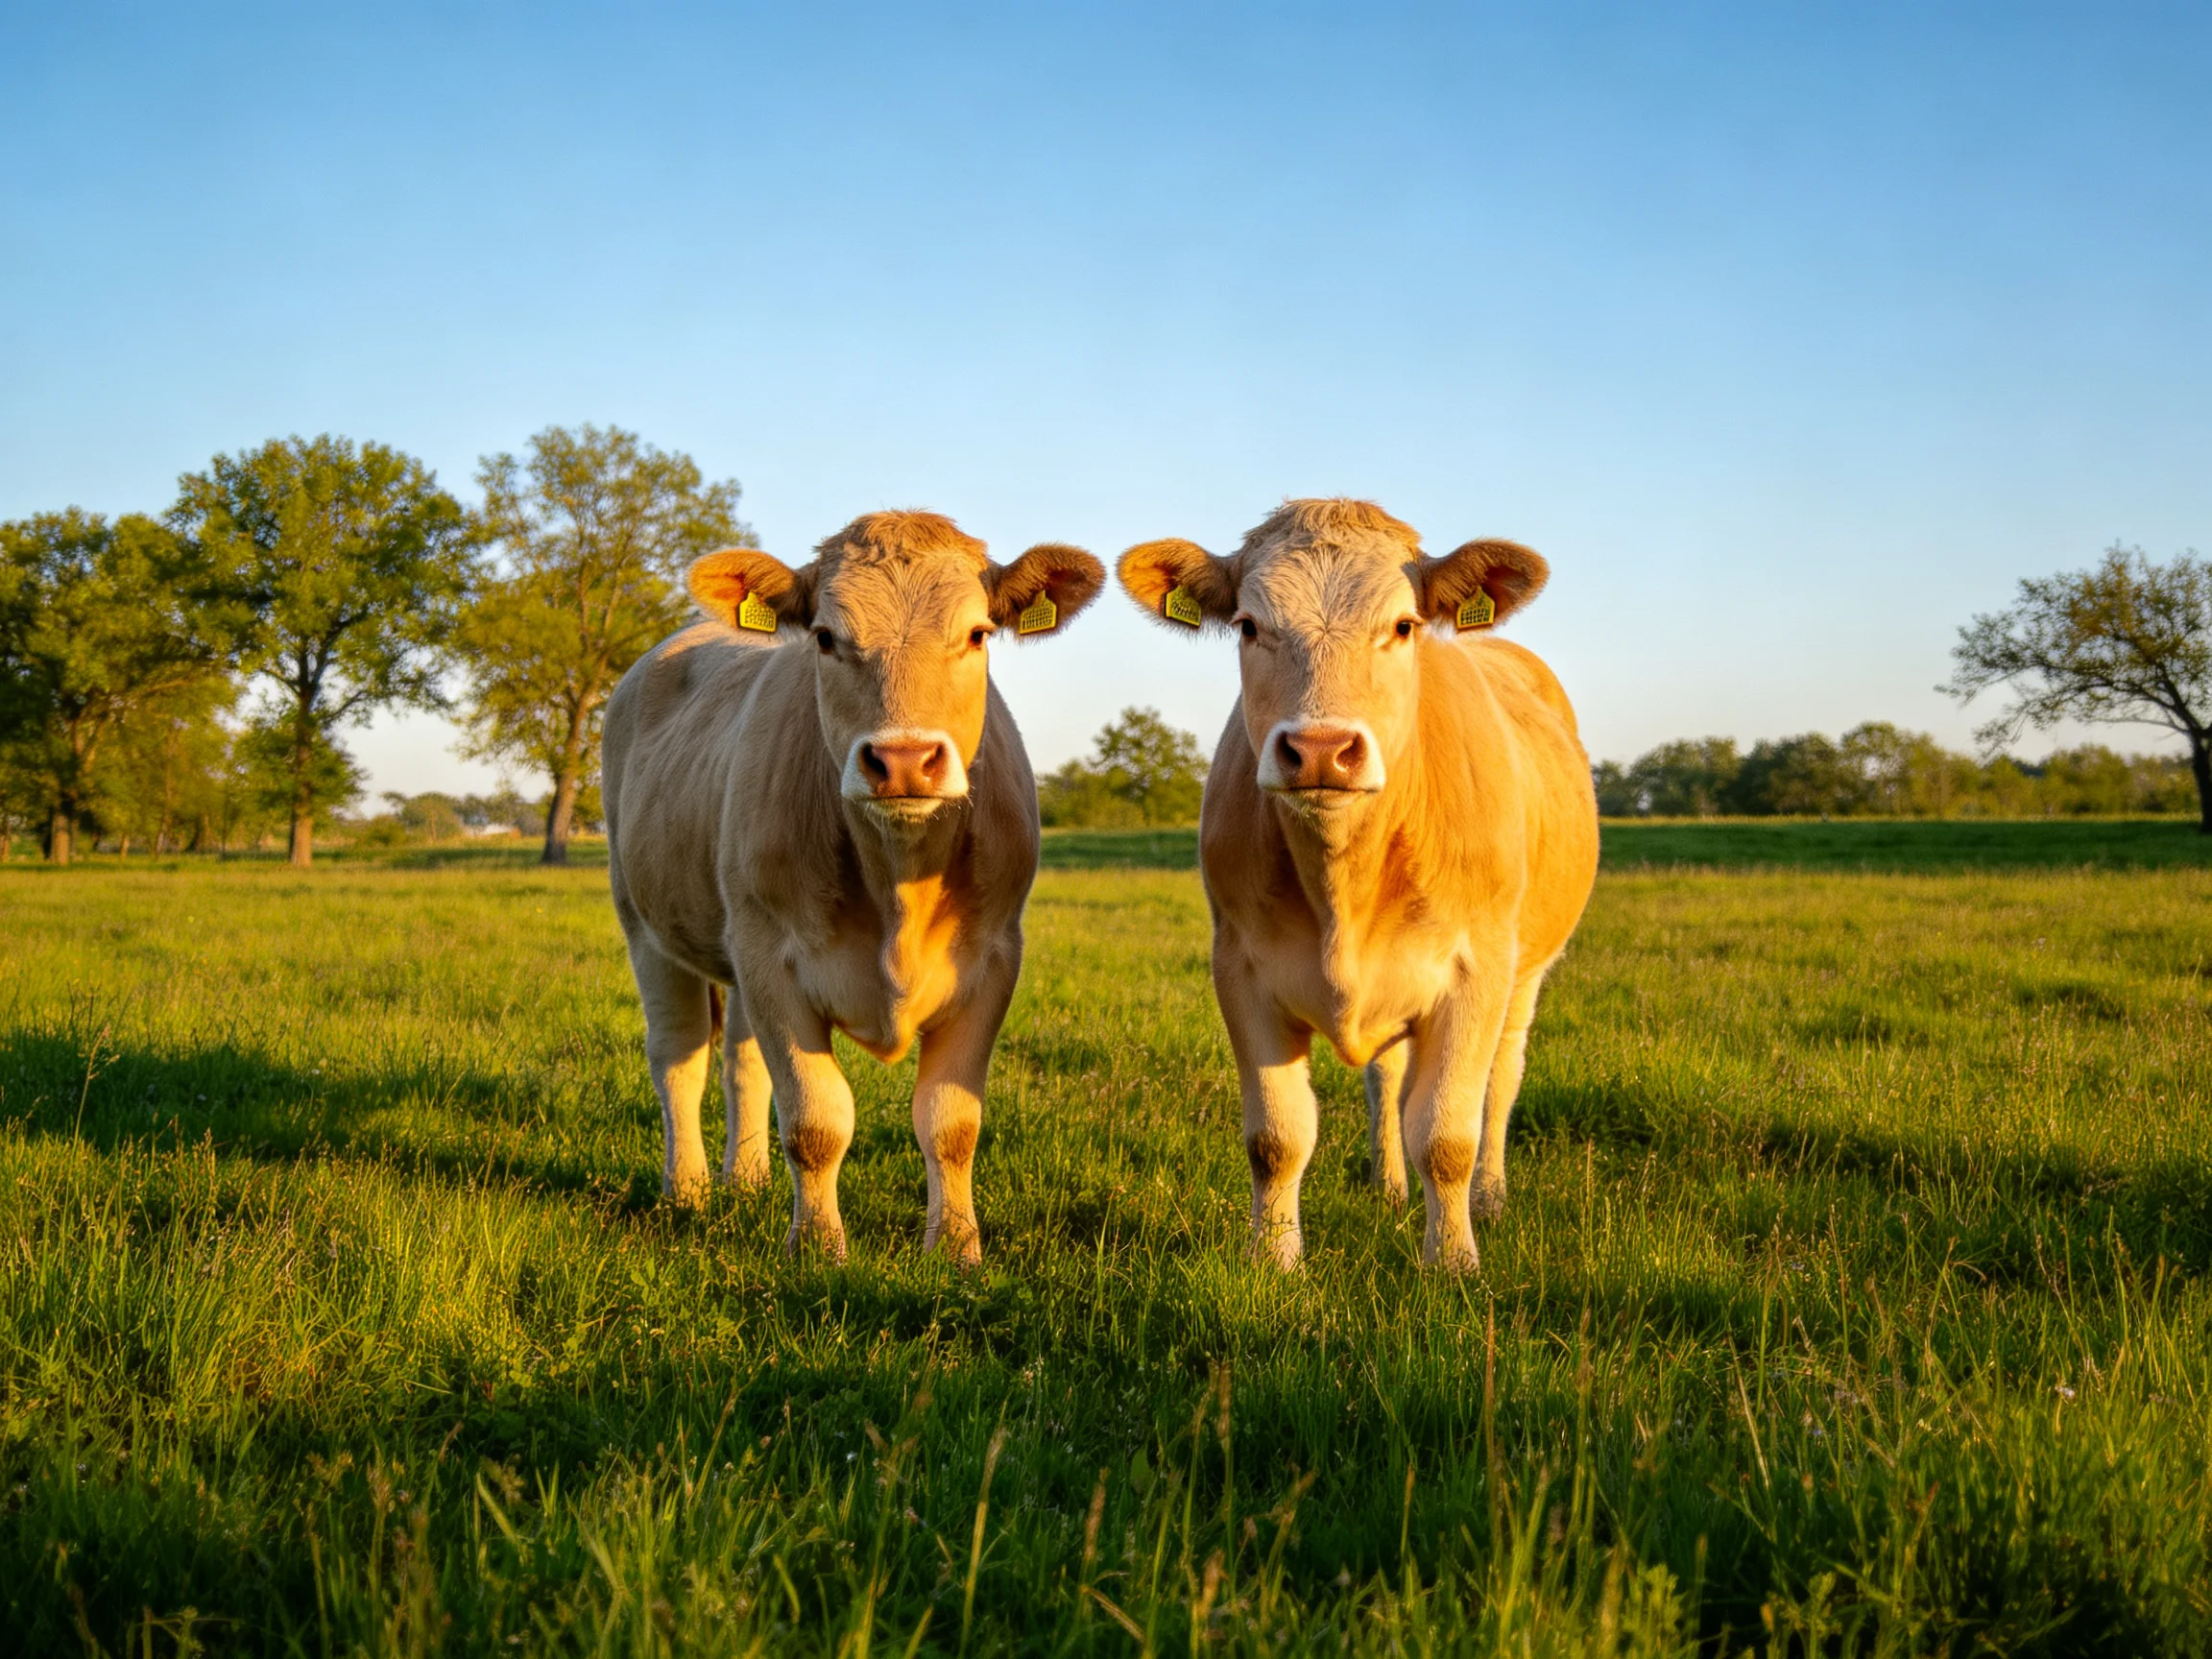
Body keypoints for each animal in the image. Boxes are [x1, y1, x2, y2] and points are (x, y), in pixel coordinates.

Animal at [601, 510, 1105, 1263]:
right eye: (826, 637)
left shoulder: (992, 959)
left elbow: (951, 1122)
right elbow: (816, 1120)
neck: (898, 881)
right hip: (646, 924)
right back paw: (685, 1190)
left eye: (978, 633)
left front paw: (956, 1249)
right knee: (679, 1057)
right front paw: (816, 1249)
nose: (903, 759)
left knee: (742, 1060)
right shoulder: (772, 956)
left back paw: (746, 1179)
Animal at [1116, 499, 1597, 1270]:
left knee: (1502, 1078)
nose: (1320, 750)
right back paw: (1389, 1185)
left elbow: (1447, 1134)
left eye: (1402, 625)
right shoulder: (1240, 968)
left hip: (1527, 973)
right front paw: (1273, 1261)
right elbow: (1277, 1137)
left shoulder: (1477, 970)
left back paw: (1492, 1197)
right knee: (1389, 1077)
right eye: (1248, 626)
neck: (1344, 882)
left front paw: (1453, 1263)